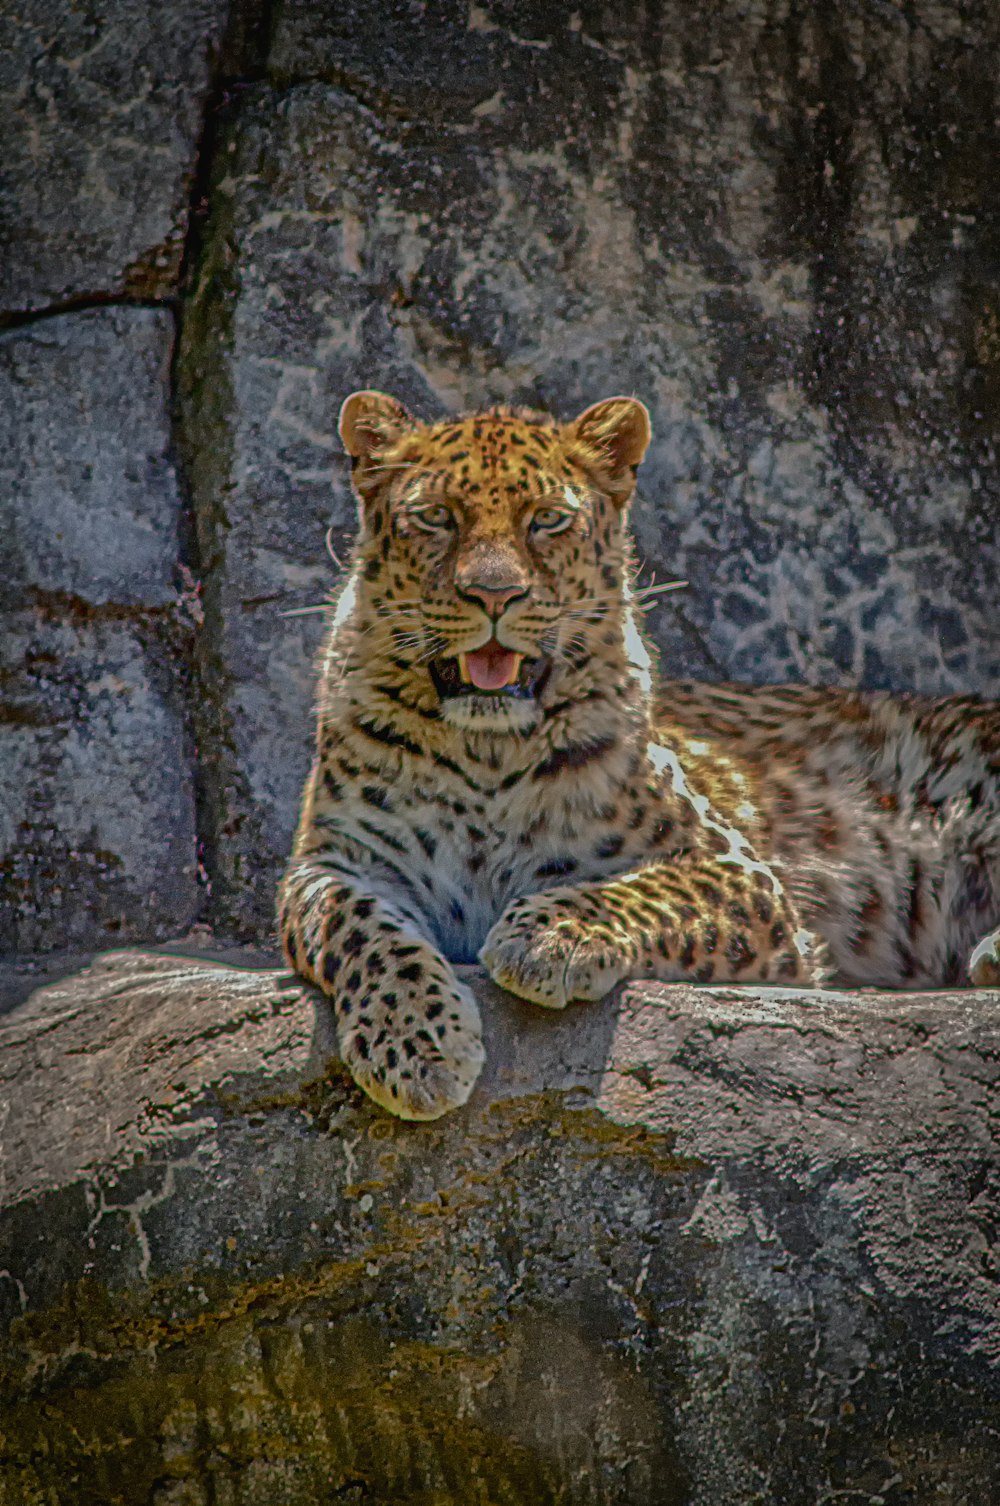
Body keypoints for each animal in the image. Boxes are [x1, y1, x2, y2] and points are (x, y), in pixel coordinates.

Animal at [277, 388, 1000, 1120]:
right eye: (435, 517)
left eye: (548, 519)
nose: (494, 595)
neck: (487, 751)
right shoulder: (332, 863)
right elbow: (359, 930)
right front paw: (415, 1045)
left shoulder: (736, 871)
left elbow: (634, 890)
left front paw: (547, 938)